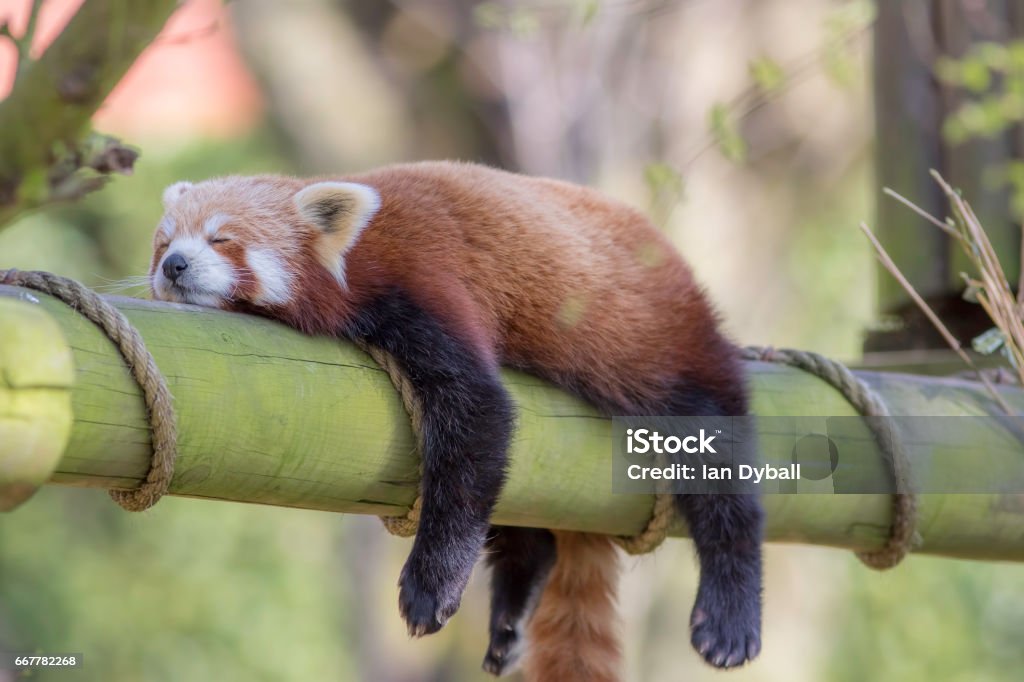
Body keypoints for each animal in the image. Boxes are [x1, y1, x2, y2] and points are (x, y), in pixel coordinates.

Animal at [149, 160, 761, 679]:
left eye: (222, 238)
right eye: (163, 243)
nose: (174, 265)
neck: (361, 251)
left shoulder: (425, 279)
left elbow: (477, 419)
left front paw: (429, 588)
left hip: (664, 340)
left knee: (719, 460)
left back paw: (730, 613)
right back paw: (513, 610)